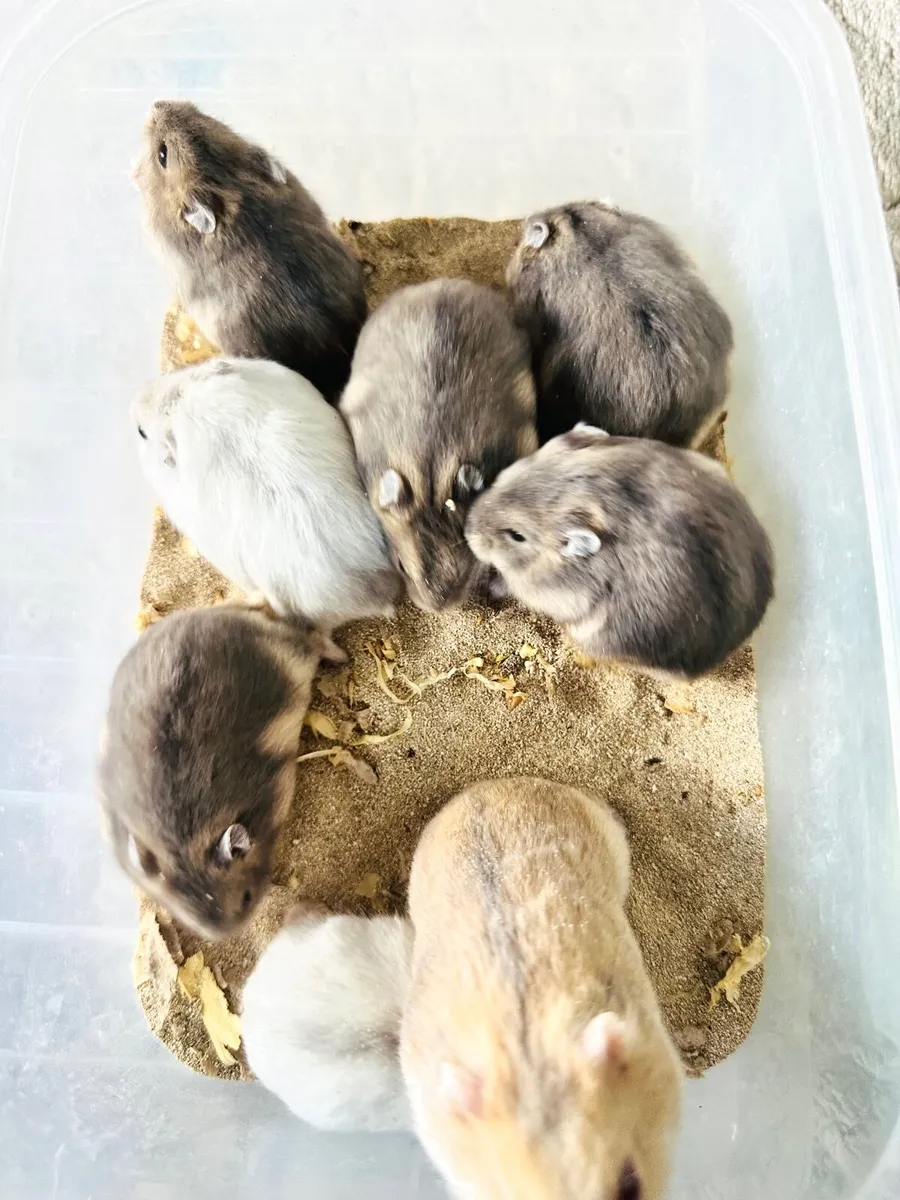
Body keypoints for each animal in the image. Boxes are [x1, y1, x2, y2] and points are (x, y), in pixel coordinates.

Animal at [96, 604, 340, 940]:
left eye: (247, 897)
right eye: (186, 920)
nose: (228, 935)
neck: (188, 850)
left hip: (294, 654)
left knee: (313, 639)